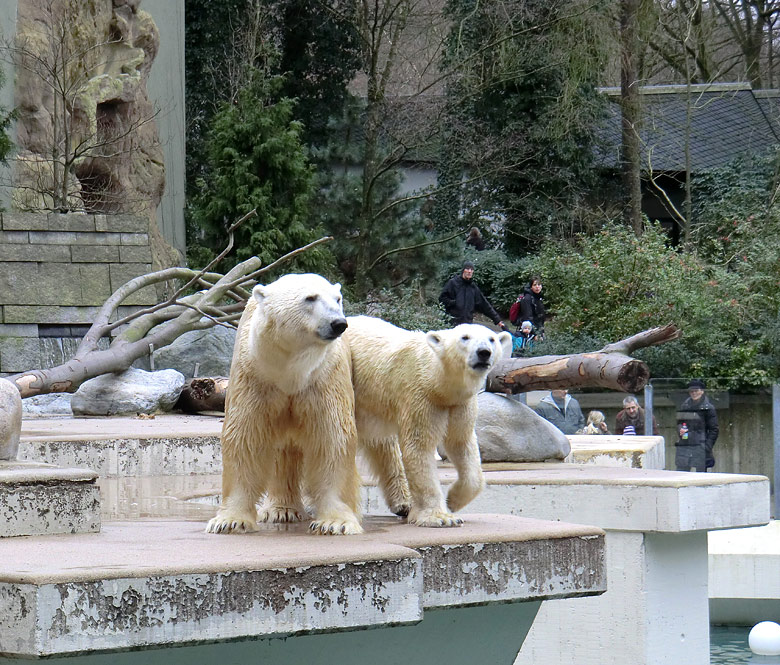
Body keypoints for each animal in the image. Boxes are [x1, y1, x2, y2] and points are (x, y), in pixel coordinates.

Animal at [207, 272, 366, 536]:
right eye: (310, 298)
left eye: (338, 299)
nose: (338, 323)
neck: (290, 372)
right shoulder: (254, 377)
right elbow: (245, 438)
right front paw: (230, 521)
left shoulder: (325, 377)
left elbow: (332, 439)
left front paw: (335, 523)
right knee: (282, 451)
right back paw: (281, 509)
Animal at [346, 314, 512, 528]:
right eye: (465, 337)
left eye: (491, 339)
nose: (484, 352)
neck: (437, 384)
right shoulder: (420, 397)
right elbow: (420, 447)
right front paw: (441, 517)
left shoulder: (459, 405)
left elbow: (461, 442)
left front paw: (453, 500)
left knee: (384, 445)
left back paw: (403, 503)